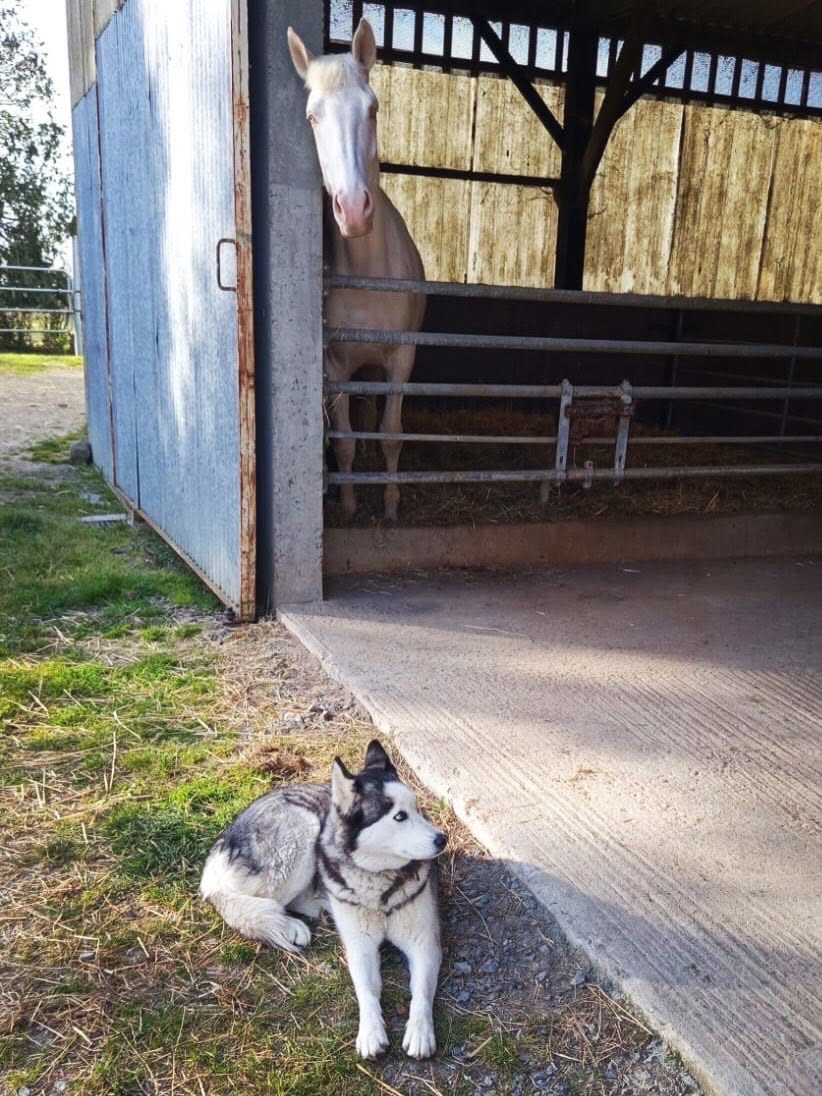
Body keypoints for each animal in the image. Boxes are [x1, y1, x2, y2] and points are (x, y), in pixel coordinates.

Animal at [288, 18, 426, 522]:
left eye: (373, 108)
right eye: (312, 117)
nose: (353, 211)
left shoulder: (402, 357)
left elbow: (392, 433)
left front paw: (391, 504)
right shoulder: (336, 366)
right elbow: (343, 440)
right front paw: (347, 504)